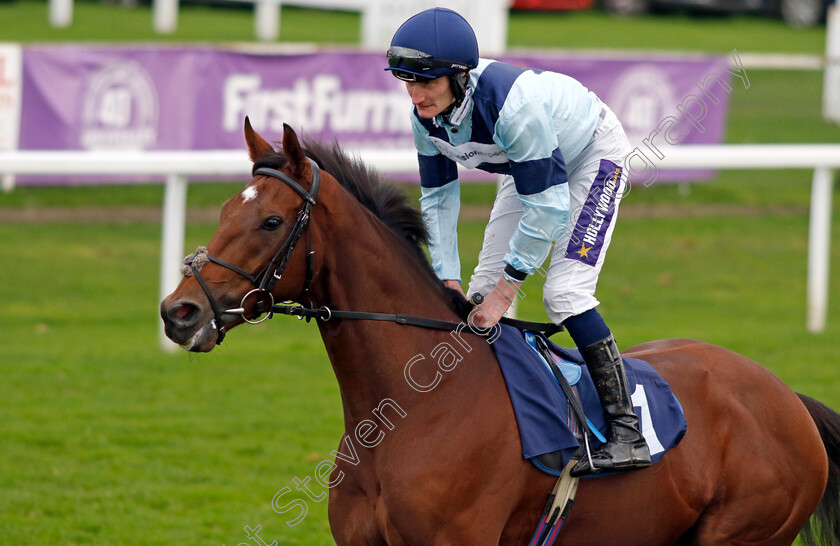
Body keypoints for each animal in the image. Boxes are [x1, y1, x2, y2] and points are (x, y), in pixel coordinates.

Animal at [159, 120, 840, 544]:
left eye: (271, 221)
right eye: (225, 210)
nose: (179, 312)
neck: (414, 405)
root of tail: (788, 398)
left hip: (742, 532)